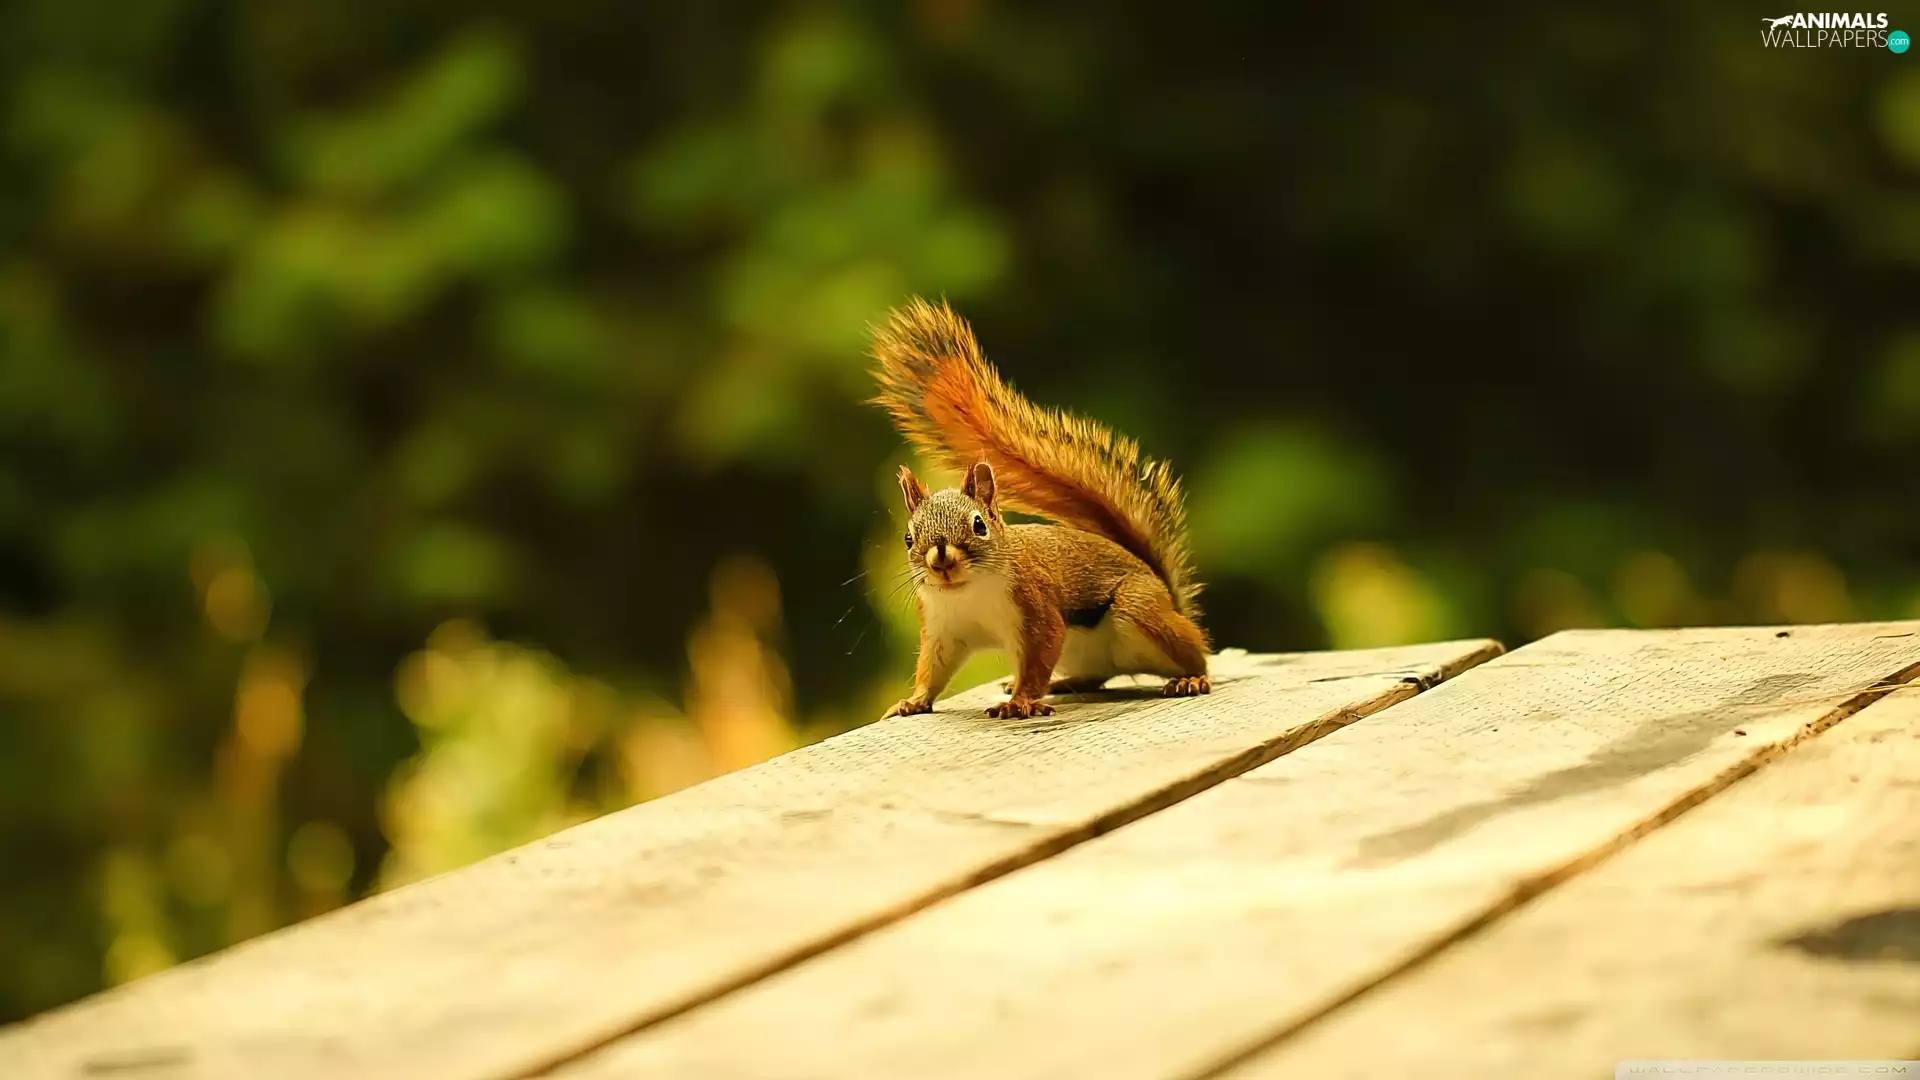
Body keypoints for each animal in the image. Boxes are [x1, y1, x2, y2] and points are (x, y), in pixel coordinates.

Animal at [870, 297, 1211, 720]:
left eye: (979, 525)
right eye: (908, 537)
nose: (941, 560)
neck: (968, 592)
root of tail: (1168, 596)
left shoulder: (1037, 609)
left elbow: (1038, 656)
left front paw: (1019, 702)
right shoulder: (942, 630)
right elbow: (932, 670)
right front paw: (913, 702)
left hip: (1143, 611)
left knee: (1197, 653)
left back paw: (1191, 678)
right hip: (1084, 654)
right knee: (1097, 677)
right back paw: (1064, 684)